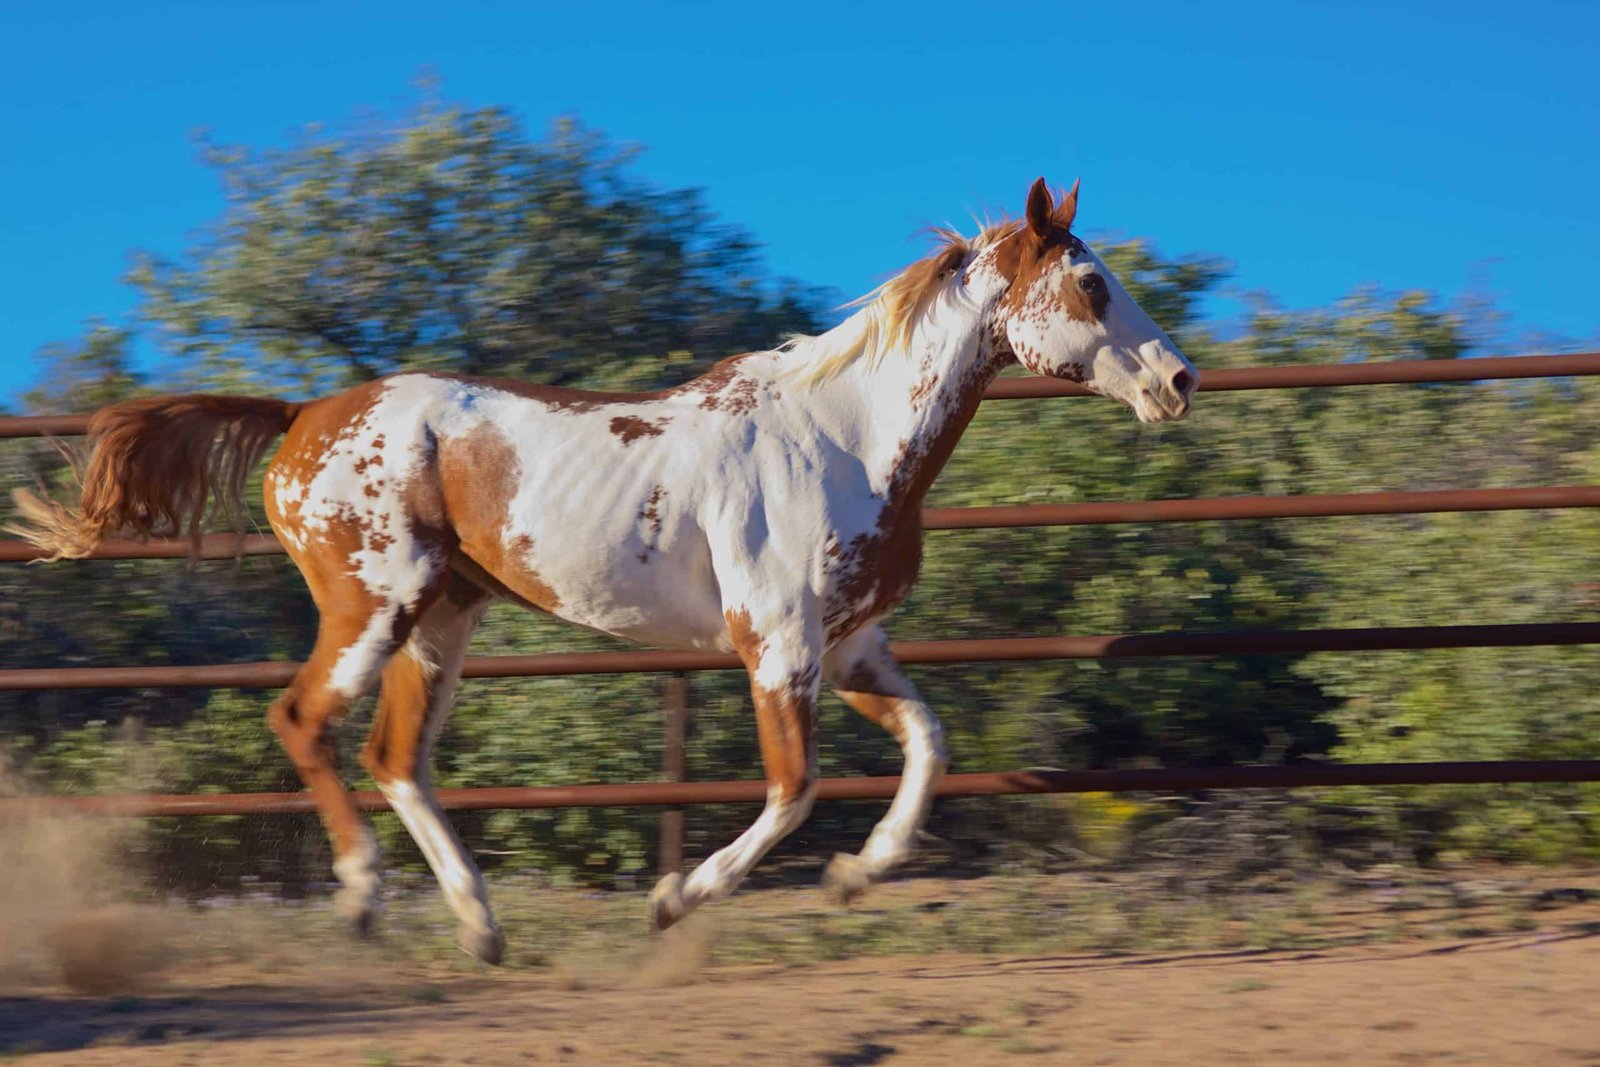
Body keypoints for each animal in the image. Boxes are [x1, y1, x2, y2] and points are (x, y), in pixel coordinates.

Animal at [9, 179, 1190, 966]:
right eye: (1092, 283)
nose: (1179, 379)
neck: (844, 440)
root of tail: (301, 417)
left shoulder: (851, 644)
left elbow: (930, 746)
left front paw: (861, 872)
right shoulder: (777, 646)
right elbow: (793, 789)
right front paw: (673, 899)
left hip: (442, 619)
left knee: (396, 757)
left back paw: (480, 925)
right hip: (373, 603)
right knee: (304, 722)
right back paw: (362, 897)